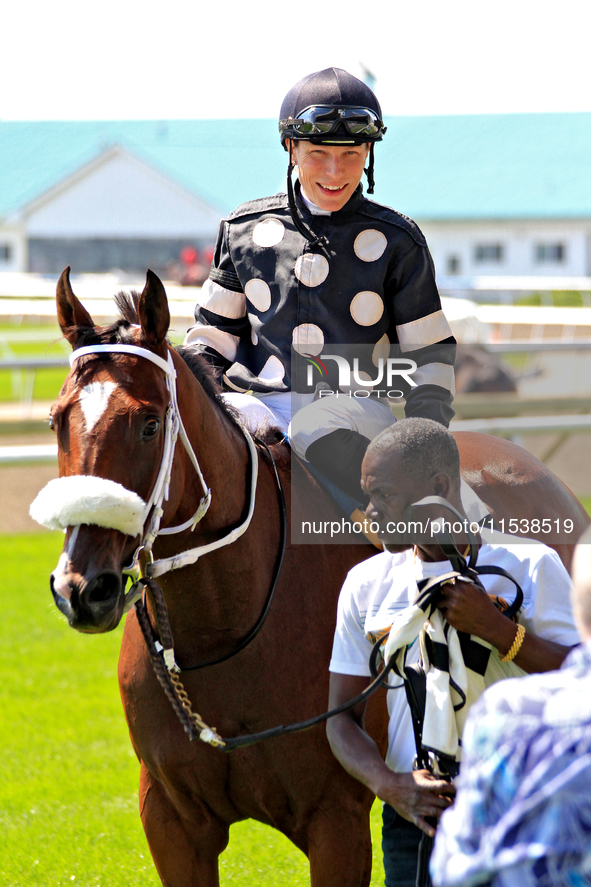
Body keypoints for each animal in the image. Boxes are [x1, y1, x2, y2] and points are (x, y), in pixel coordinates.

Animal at [35, 270, 588, 887]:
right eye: (57, 420)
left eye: (150, 423)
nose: (84, 588)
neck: (223, 632)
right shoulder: (171, 819)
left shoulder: (335, 818)